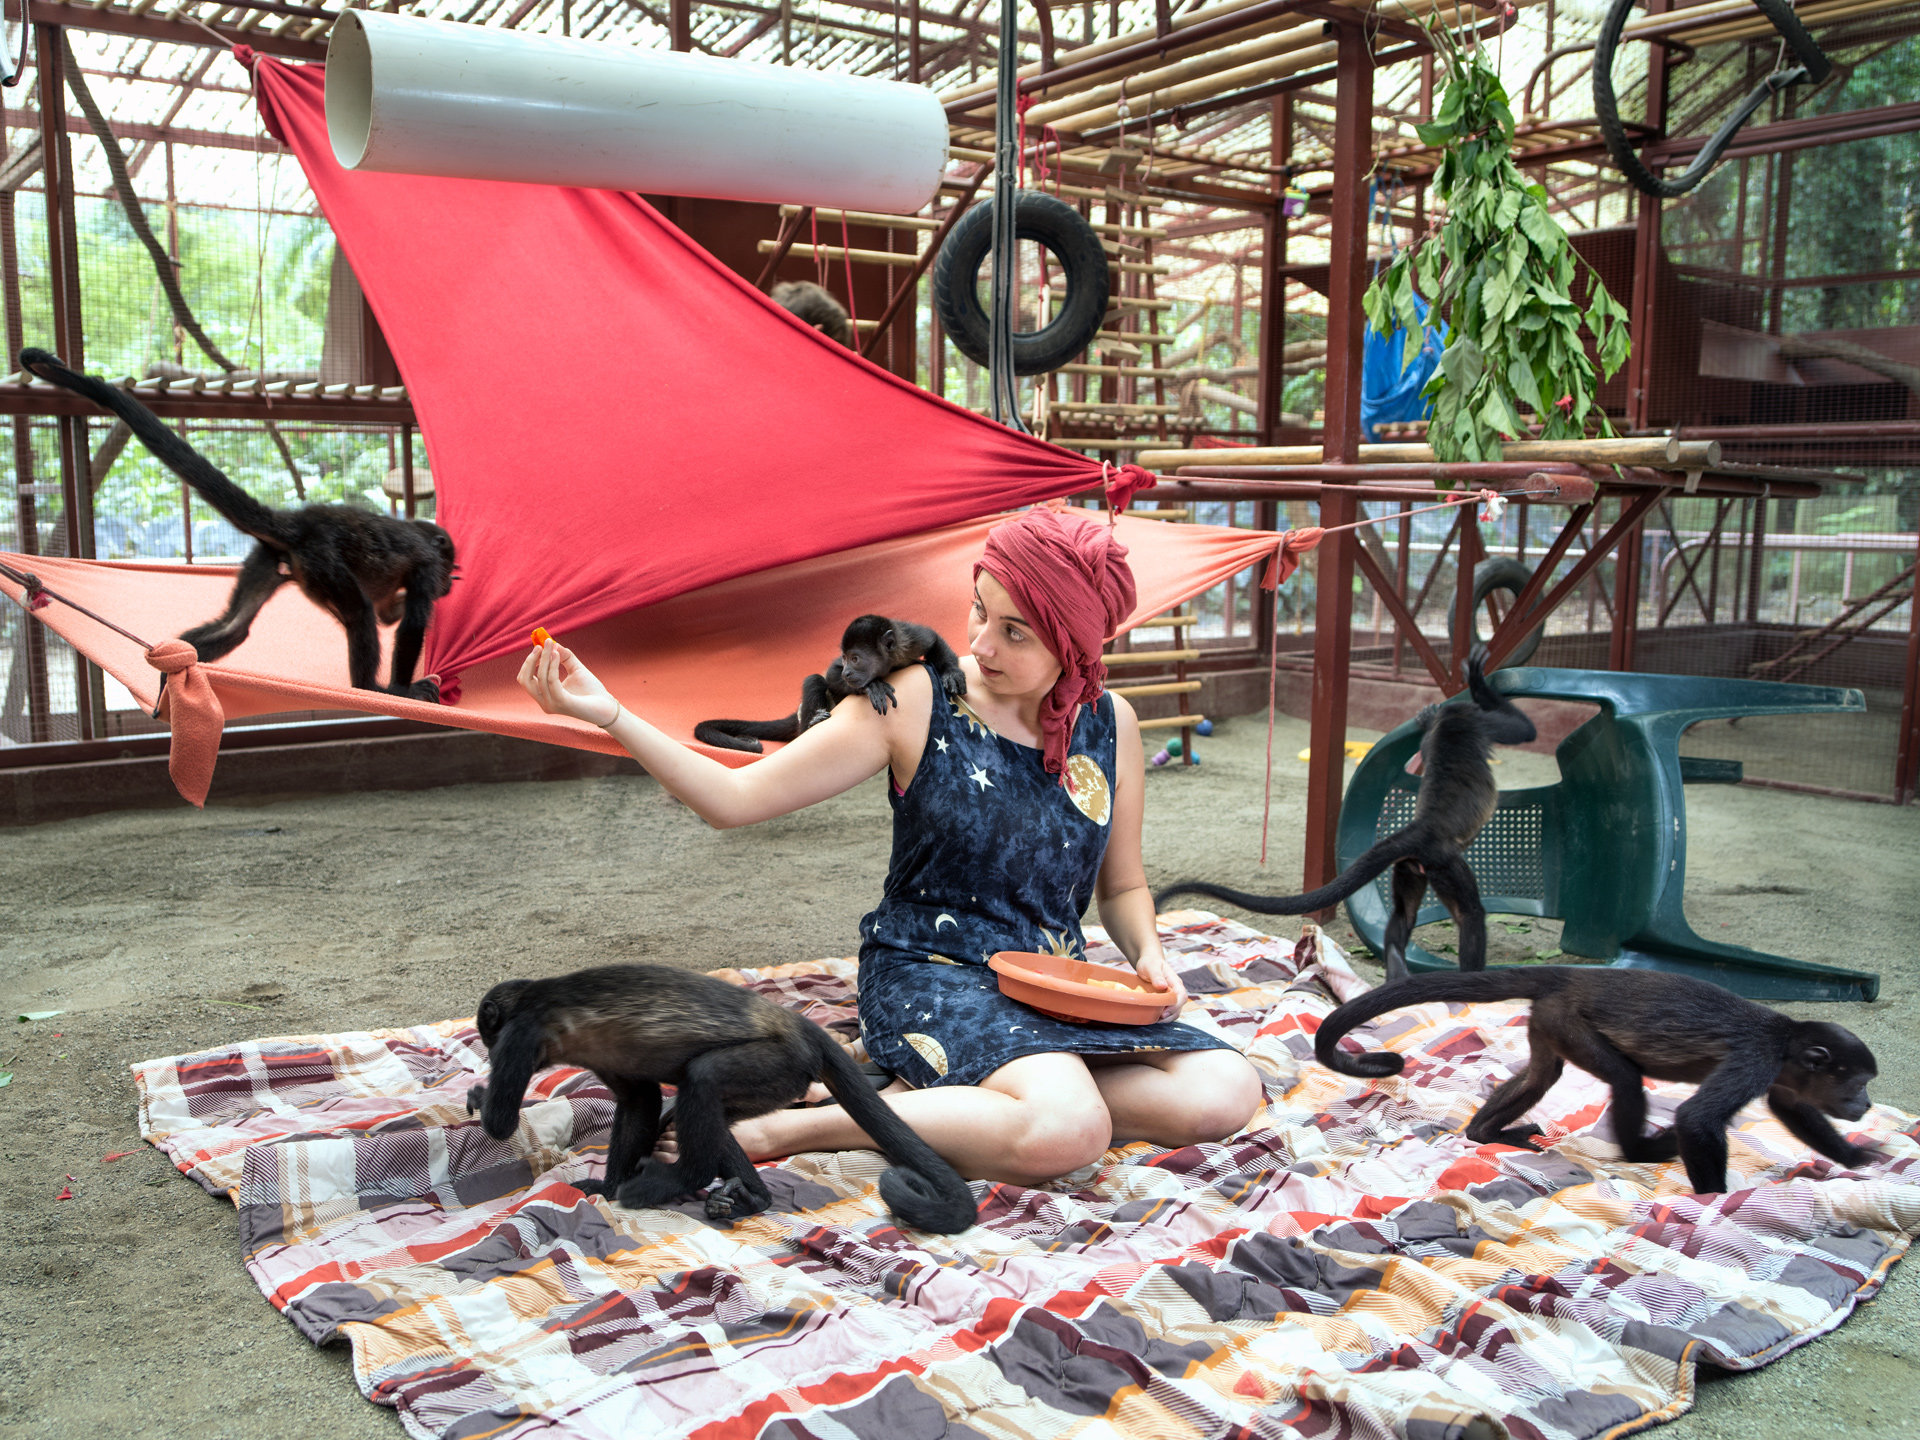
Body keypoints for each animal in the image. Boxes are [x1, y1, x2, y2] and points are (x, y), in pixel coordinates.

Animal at [20, 353, 455, 706]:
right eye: (447, 566)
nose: (449, 582)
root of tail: (299, 523)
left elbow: (388, 615)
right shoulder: (427, 562)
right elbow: (406, 622)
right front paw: (403, 687)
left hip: (269, 560)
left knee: (235, 626)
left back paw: (172, 673)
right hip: (323, 562)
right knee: (359, 614)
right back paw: (375, 690)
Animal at [460, 963, 975, 1236]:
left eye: (489, 1035)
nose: (485, 1046)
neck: (534, 995)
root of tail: (799, 1024)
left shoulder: (522, 1033)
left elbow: (502, 1122)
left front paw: (481, 1095)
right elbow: (641, 1101)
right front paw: (606, 1188)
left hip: (780, 1064)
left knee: (702, 1078)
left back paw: (678, 1180)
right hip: (777, 1085)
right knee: (709, 1114)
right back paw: (753, 1198)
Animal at [695, 618, 967, 760]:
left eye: (856, 658)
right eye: (845, 658)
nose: (848, 671)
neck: (888, 663)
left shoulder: (907, 640)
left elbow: (932, 639)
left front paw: (951, 672)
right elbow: (829, 675)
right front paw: (872, 686)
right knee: (814, 681)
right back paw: (812, 724)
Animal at [1144, 648, 1536, 990]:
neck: (1450, 723)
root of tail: (1421, 826)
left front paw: (1428, 716)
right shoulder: (1476, 722)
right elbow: (1524, 730)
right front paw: (1479, 682)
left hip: (1409, 865)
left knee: (1403, 917)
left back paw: (1397, 968)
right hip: (1444, 862)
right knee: (1470, 914)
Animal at [1313, 971, 1881, 1198]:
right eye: (1857, 1083)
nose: (1868, 1103)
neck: (1786, 1044)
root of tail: (1571, 976)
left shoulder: (1784, 1079)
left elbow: (1795, 1110)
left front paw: (1856, 1157)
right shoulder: (1756, 1060)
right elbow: (1698, 1118)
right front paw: (1715, 1202)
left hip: (1548, 1019)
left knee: (1543, 1074)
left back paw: (1484, 1133)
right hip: (1569, 1021)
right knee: (1627, 1079)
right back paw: (1642, 1152)